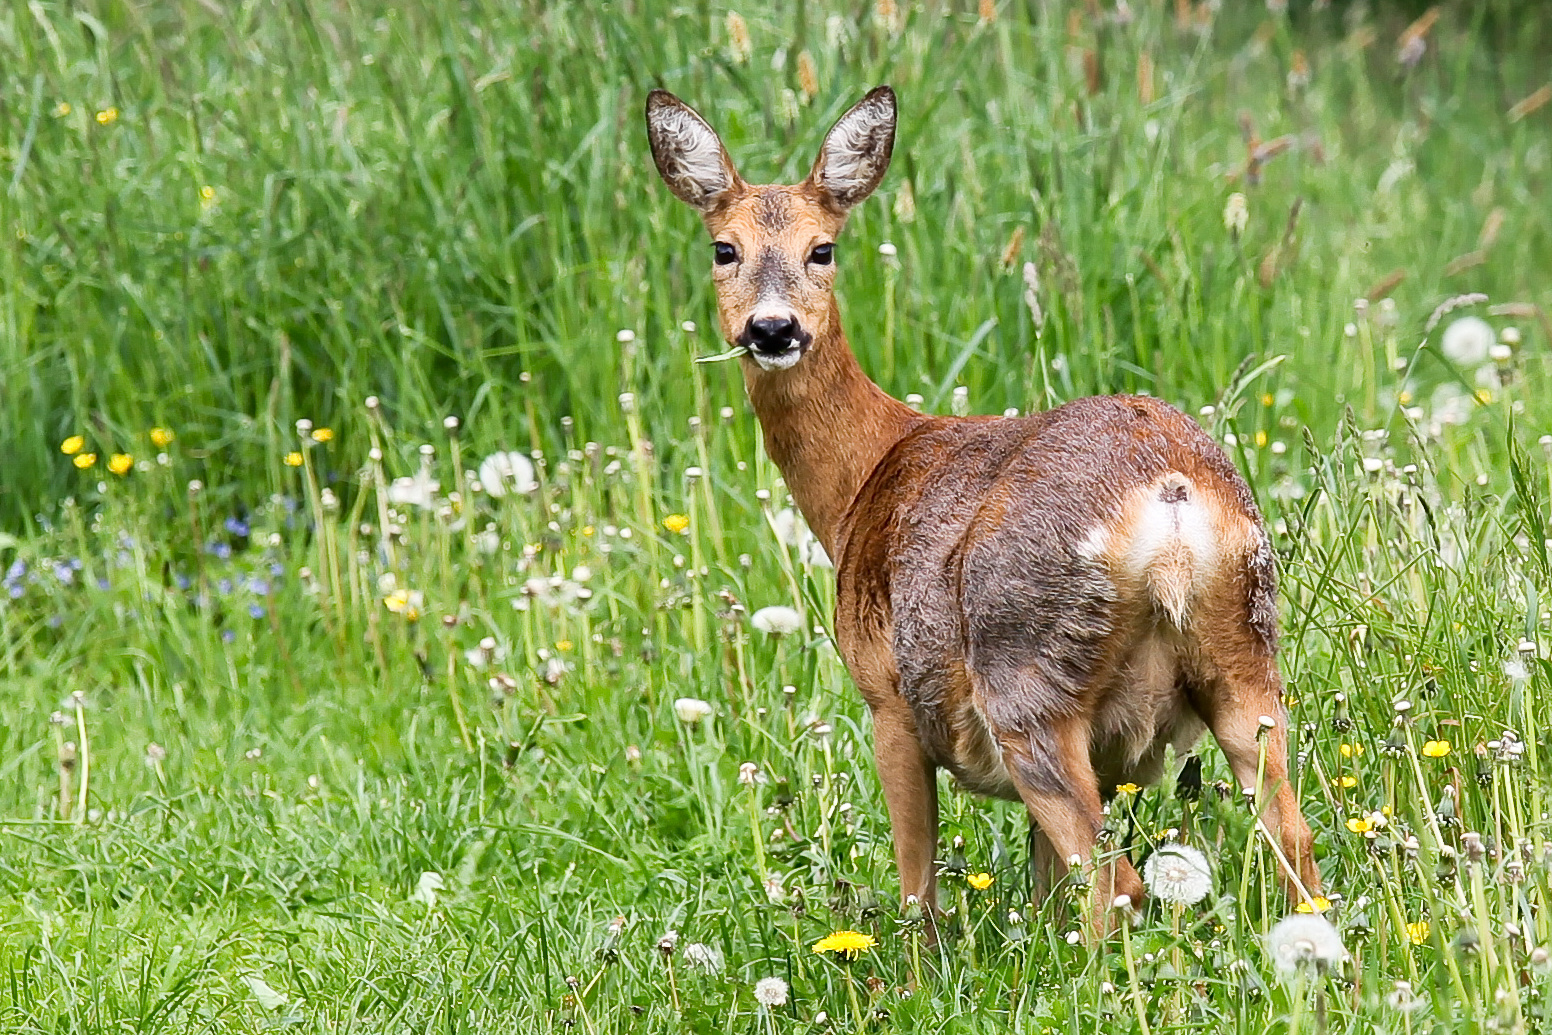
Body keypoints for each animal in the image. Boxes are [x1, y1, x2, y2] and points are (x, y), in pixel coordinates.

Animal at [645, 86, 1322, 931]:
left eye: (822, 248)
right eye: (723, 248)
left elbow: (918, 885)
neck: (863, 480)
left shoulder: (888, 696)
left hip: (1025, 673)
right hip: (1243, 649)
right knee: (1291, 838)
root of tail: (1169, 503)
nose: (772, 328)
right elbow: (1040, 881)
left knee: (1116, 880)